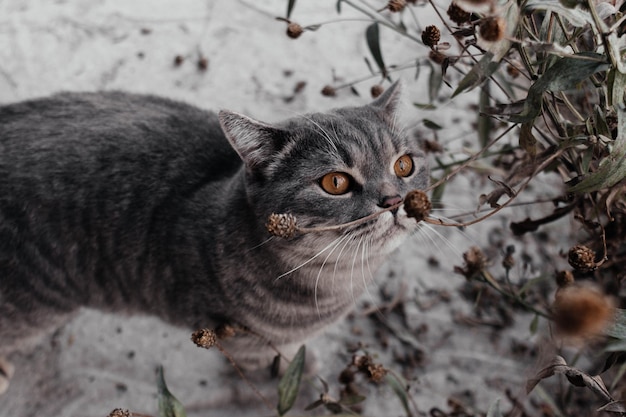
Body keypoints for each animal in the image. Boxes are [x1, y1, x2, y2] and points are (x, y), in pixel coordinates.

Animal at [0, 82, 424, 394]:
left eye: (404, 165)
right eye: (335, 183)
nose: (395, 201)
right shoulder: (243, 342)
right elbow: (275, 359)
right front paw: (296, 376)